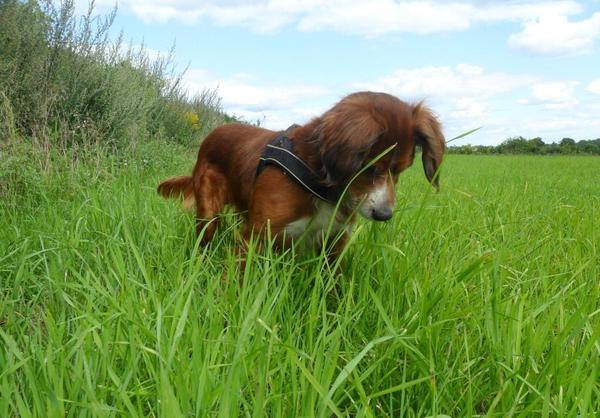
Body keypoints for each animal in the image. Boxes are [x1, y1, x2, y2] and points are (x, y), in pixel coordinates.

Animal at [157, 92, 442, 258]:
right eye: (370, 168)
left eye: (401, 171)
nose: (384, 215)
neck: (319, 181)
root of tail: (212, 133)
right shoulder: (256, 236)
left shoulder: (334, 240)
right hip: (208, 213)